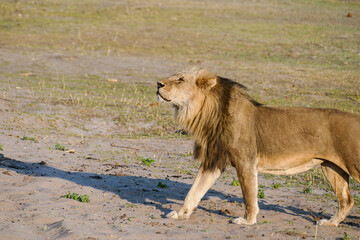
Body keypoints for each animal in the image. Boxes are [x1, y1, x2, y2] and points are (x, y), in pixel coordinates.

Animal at [157, 68, 360, 226]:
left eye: (180, 79)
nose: (158, 84)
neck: (207, 112)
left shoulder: (246, 162)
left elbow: (249, 195)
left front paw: (247, 221)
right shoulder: (213, 161)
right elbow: (194, 191)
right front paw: (180, 213)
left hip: (353, 166)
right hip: (331, 167)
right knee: (347, 200)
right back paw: (330, 223)